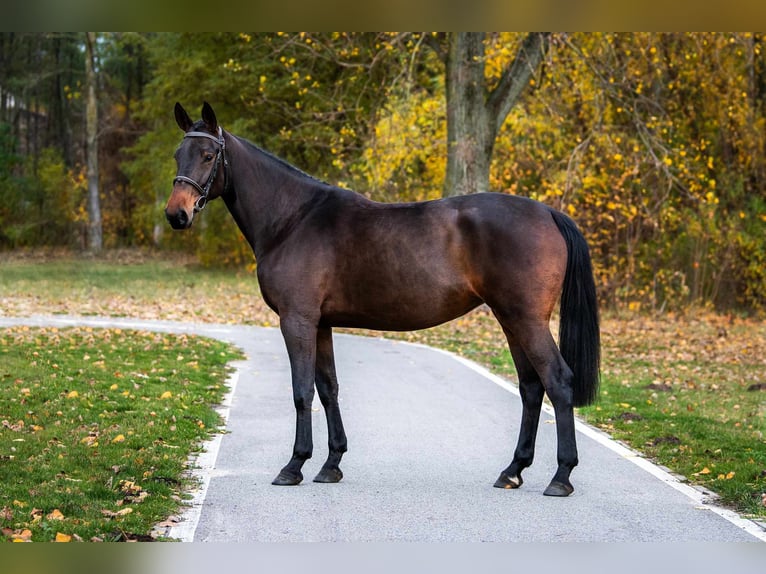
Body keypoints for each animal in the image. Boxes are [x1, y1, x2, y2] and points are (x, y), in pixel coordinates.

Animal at [166, 101, 600, 498]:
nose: (176, 215)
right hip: (511, 320)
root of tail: (547, 212)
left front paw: (294, 465)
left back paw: (561, 476)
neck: (294, 219)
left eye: (208, 155)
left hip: (526, 319)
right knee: (531, 387)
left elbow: (302, 391)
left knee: (557, 381)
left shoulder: (297, 320)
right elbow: (329, 389)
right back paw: (512, 471)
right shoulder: (321, 324)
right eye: (178, 154)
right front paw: (331, 464)